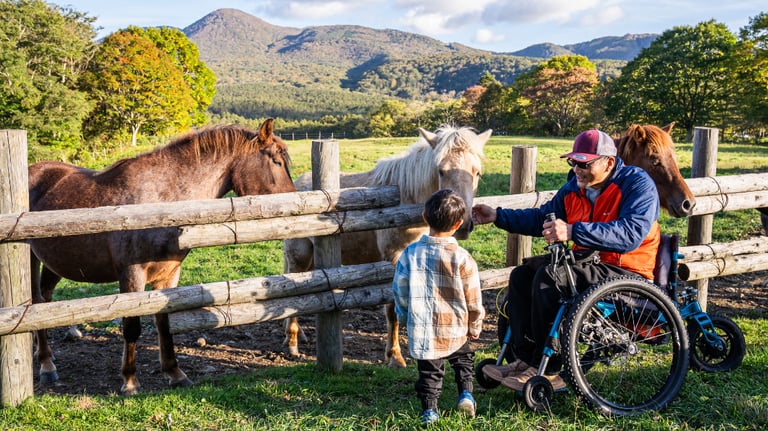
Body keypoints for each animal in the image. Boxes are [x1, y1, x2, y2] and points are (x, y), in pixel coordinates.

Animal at [28, 119, 296, 395]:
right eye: (277, 161)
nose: (296, 203)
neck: (160, 203)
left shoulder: (168, 275)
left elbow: (164, 323)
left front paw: (175, 373)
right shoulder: (132, 276)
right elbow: (131, 327)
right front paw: (130, 380)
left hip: (54, 263)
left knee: (45, 299)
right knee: (36, 301)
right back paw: (46, 365)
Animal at [283, 124, 492, 367]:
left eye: (477, 172)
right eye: (441, 171)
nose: (463, 224)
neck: (406, 199)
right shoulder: (394, 260)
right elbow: (393, 310)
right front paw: (395, 356)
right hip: (300, 255)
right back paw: (292, 343)